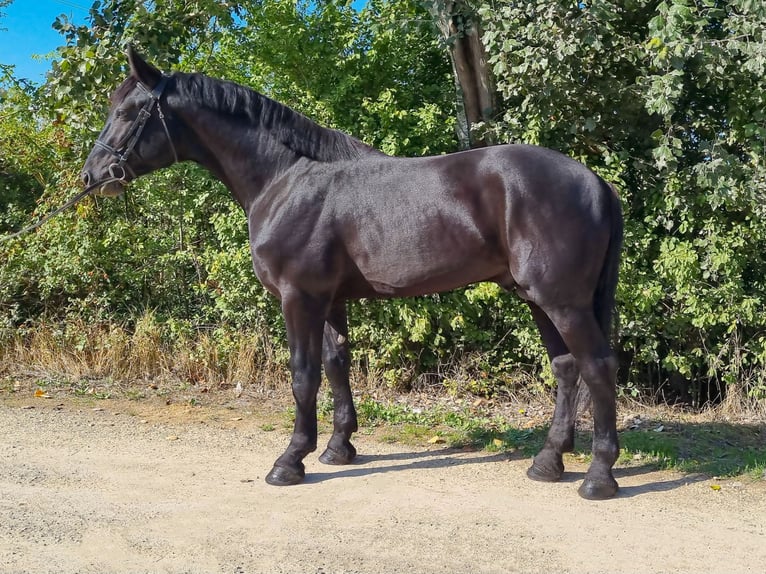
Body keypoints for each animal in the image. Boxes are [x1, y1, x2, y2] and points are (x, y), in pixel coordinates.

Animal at [81, 47, 628, 502]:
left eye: (128, 112)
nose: (93, 176)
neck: (286, 179)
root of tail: (596, 182)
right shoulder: (330, 299)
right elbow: (336, 364)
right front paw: (338, 447)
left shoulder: (298, 297)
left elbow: (303, 374)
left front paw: (290, 460)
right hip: (538, 298)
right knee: (566, 368)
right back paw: (548, 461)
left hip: (562, 300)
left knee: (598, 367)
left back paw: (599, 476)